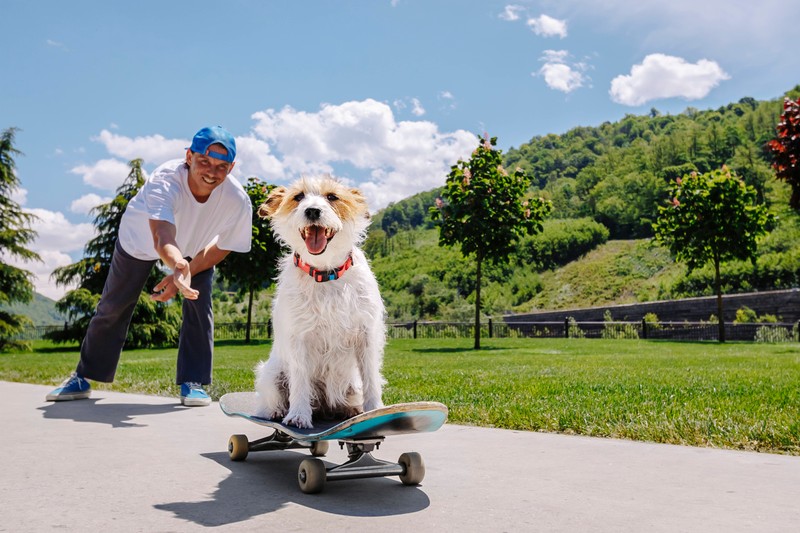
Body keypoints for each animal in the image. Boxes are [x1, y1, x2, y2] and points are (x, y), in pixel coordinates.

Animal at [253, 176, 384, 428]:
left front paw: (375, 410)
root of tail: (325, 407)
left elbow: (371, 377)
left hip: (352, 384)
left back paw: (351, 410)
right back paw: (277, 412)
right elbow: (300, 380)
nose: (312, 210)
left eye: (332, 197)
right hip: (272, 375)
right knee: (271, 399)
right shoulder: (299, 338)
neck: (325, 272)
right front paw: (298, 415)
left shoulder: (366, 335)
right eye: (298, 197)